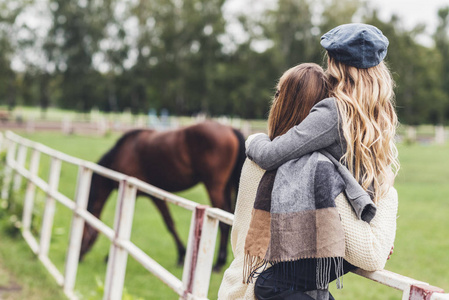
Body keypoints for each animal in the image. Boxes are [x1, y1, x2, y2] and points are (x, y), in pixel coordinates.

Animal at [80, 120, 245, 270]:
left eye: (83, 229)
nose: (79, 255)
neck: (123, 153)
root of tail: (230, 129)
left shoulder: (152, 196)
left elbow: (168, 224)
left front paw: (181, 255)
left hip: (214, 187)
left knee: (223, 224)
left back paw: (218, 263)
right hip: (226, 187)